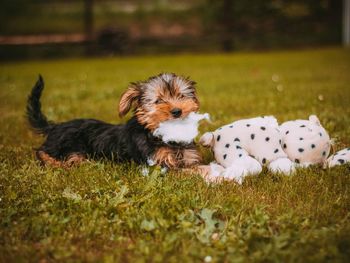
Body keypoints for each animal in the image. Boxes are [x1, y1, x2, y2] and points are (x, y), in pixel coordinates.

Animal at [26, 73, 202, 170]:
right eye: (158, 101)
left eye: (181, 96)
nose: (177, 111)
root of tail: (56, 127)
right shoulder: (157, 163)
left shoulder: (189, 157)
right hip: (70, 145)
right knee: (44, 152)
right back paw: (55, 163)